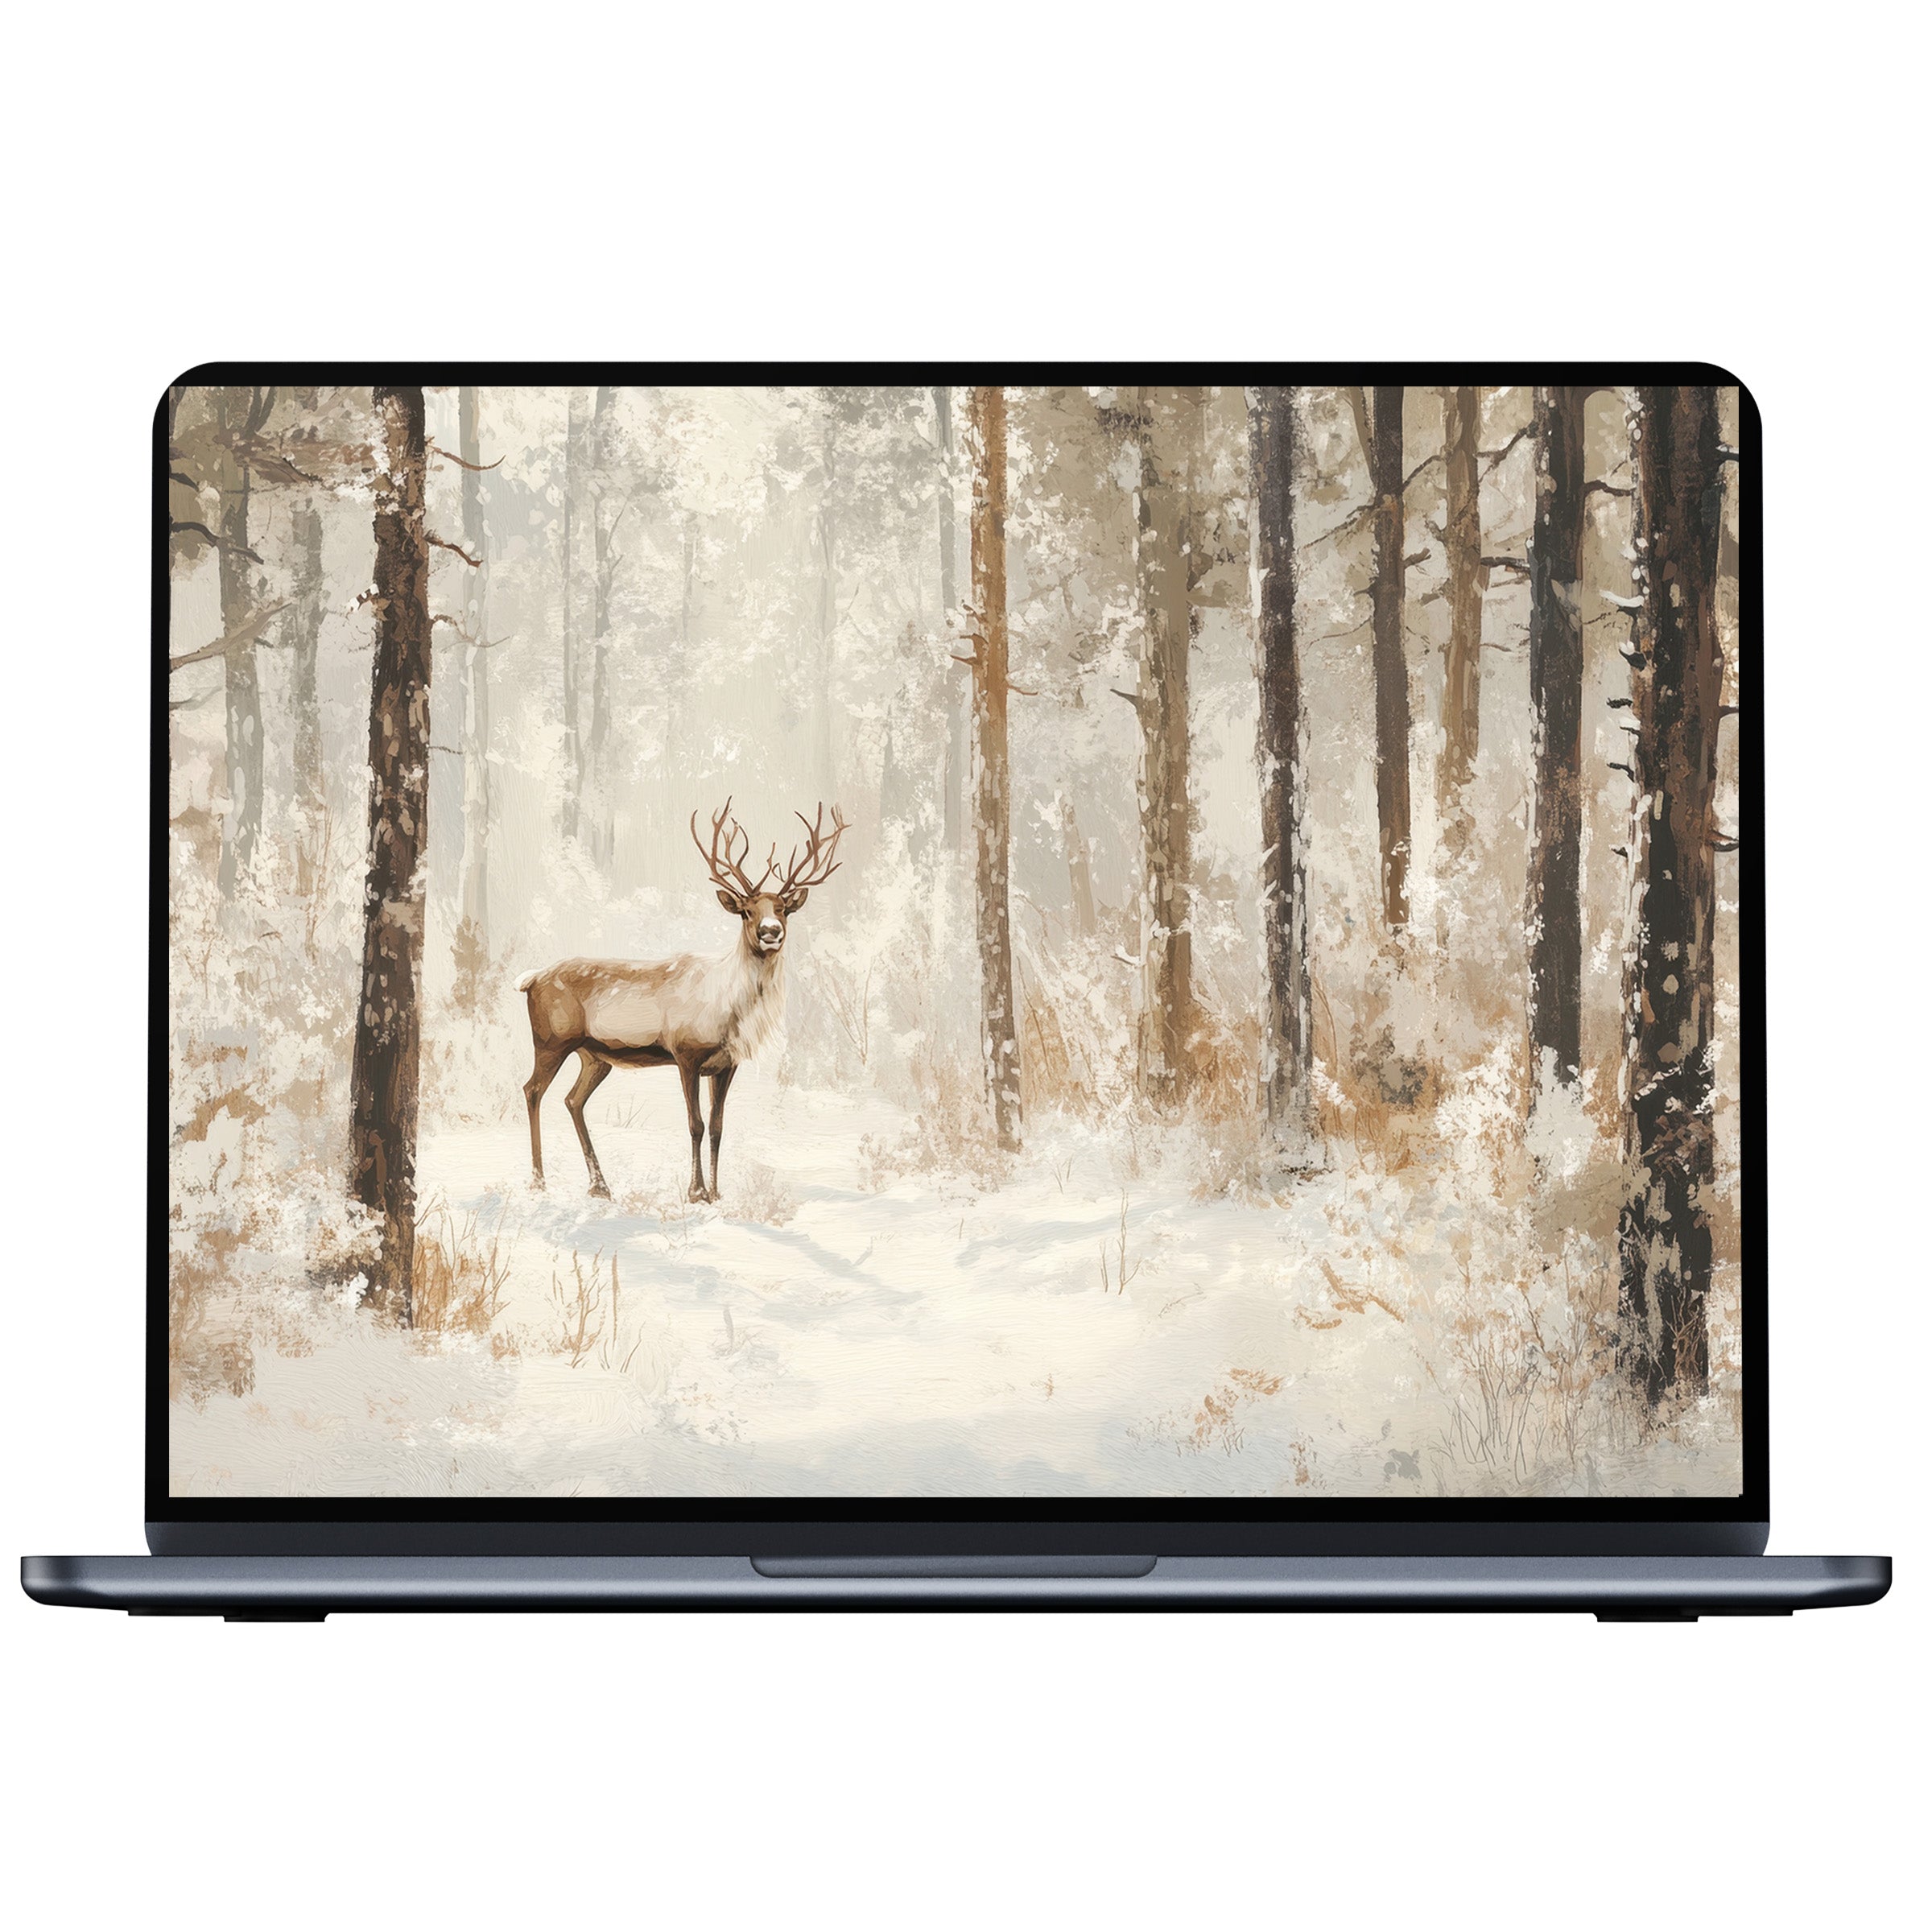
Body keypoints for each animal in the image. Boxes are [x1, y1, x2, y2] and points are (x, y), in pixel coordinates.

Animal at [516, 800, 847, 1203]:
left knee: (572, 1100)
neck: (730, 1013)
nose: (771, 932)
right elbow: (696, 1124)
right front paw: (696, 1191)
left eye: (783, 907)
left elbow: (719, 1126)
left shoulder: (726, 1064)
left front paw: (718, 1193)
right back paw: (538, 1180)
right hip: (551, 1040)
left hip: (594, 1056)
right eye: (747, 911)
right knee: (532, 1090)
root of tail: (530, 980)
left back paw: (600, 1186)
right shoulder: (685, 1053)